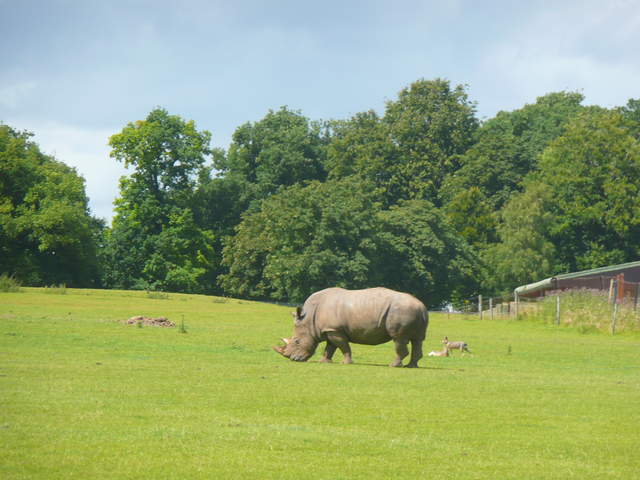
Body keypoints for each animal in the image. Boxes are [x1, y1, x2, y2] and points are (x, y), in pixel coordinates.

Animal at [273, 287, 428, 367]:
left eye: (297, 341)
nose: (293, 359)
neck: (309, 318)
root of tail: (422, 305)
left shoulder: (335, 330)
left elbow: (343, 347)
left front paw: (346, 363)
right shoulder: (330, 330)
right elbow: (330, 348)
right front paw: (324, 362)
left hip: (402, 311)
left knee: (399, 339)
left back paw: (393, 365)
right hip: (412, 311)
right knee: (417, 340)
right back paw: (411, 366)